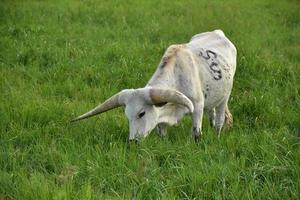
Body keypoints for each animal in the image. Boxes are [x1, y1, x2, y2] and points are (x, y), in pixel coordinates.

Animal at [72, 30, 237, 142]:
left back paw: (217, 134)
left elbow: (196, 134)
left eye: (141, 113)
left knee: (220, 119)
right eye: (127, 115)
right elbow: (161, 131)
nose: (132, 141)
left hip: (225, 97)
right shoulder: (161, 117)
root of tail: (217, 32)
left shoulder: (197, 107)